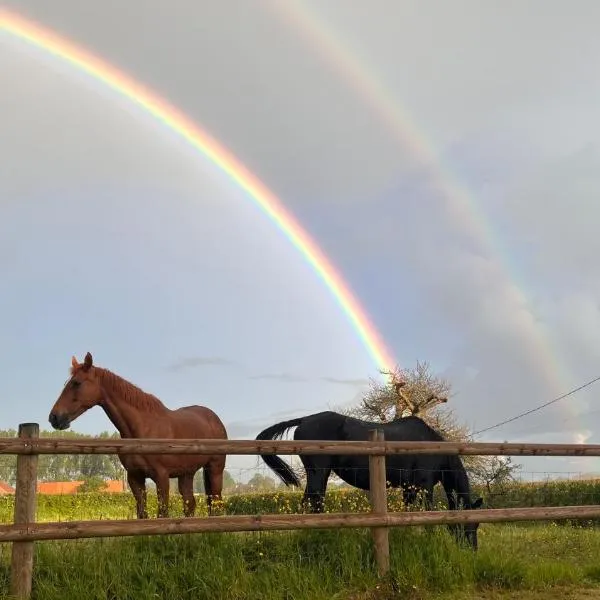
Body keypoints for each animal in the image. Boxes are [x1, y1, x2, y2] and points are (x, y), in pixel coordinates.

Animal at [48, 354, 227, 516]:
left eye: (76, 383)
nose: (54, 417)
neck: (143, 430)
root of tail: (214, 419)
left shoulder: (162, 477)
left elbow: (163, 514)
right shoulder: (135, 478)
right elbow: (142, 514)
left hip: (215, 469)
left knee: (215, 505)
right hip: (186, 474)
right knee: (190, 505)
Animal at [256, 412, 482, 548]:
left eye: (478, 524)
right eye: (468, 524)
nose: (471, 549)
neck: (432, 446)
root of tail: (305, 420)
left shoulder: (409, 488)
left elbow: (410, 512)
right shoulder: (424, 486)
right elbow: (427, 513)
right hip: (318, 472)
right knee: (314, 500)